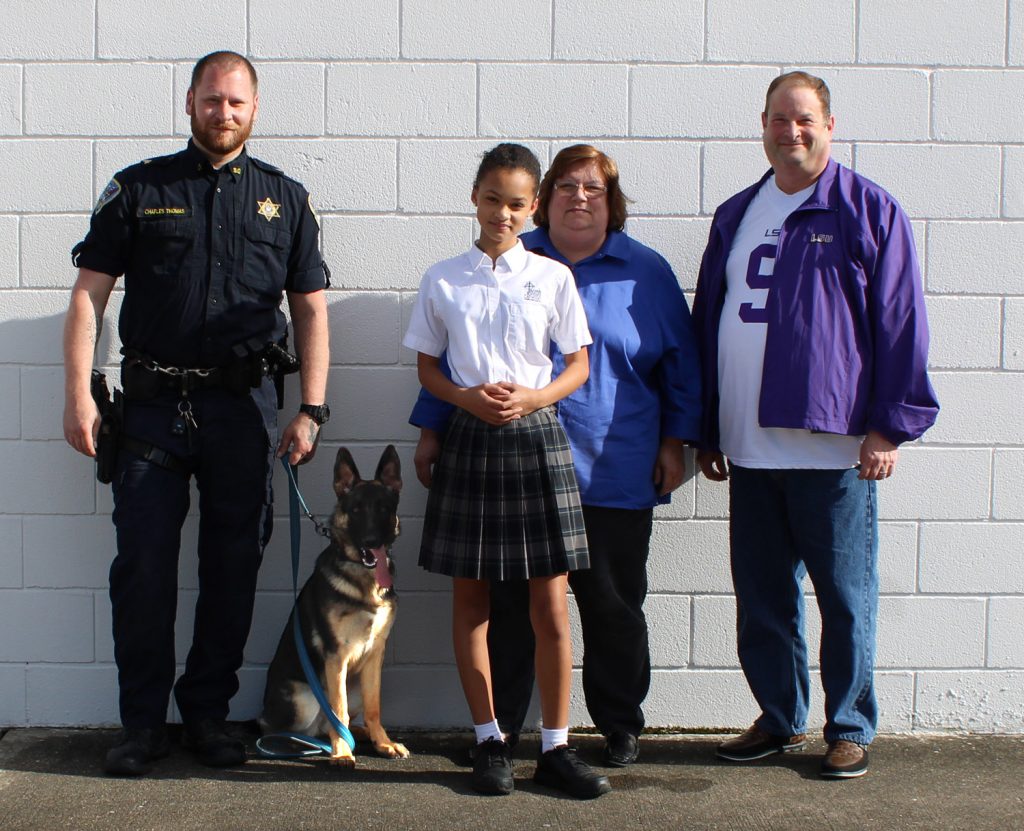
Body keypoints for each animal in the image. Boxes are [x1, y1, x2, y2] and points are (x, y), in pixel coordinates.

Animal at [258, 448, 409, 765]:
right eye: (356, 510)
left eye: (383, 509)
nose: (371, 541)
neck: (364, 580)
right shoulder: (336, 656)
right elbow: (338, 710)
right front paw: (342, 752)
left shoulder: (375, 654)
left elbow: (374, 707)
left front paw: (383, 742)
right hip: (304, 696)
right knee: (294, 727)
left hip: (355, 685)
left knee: (339, 721)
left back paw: (360, 734)